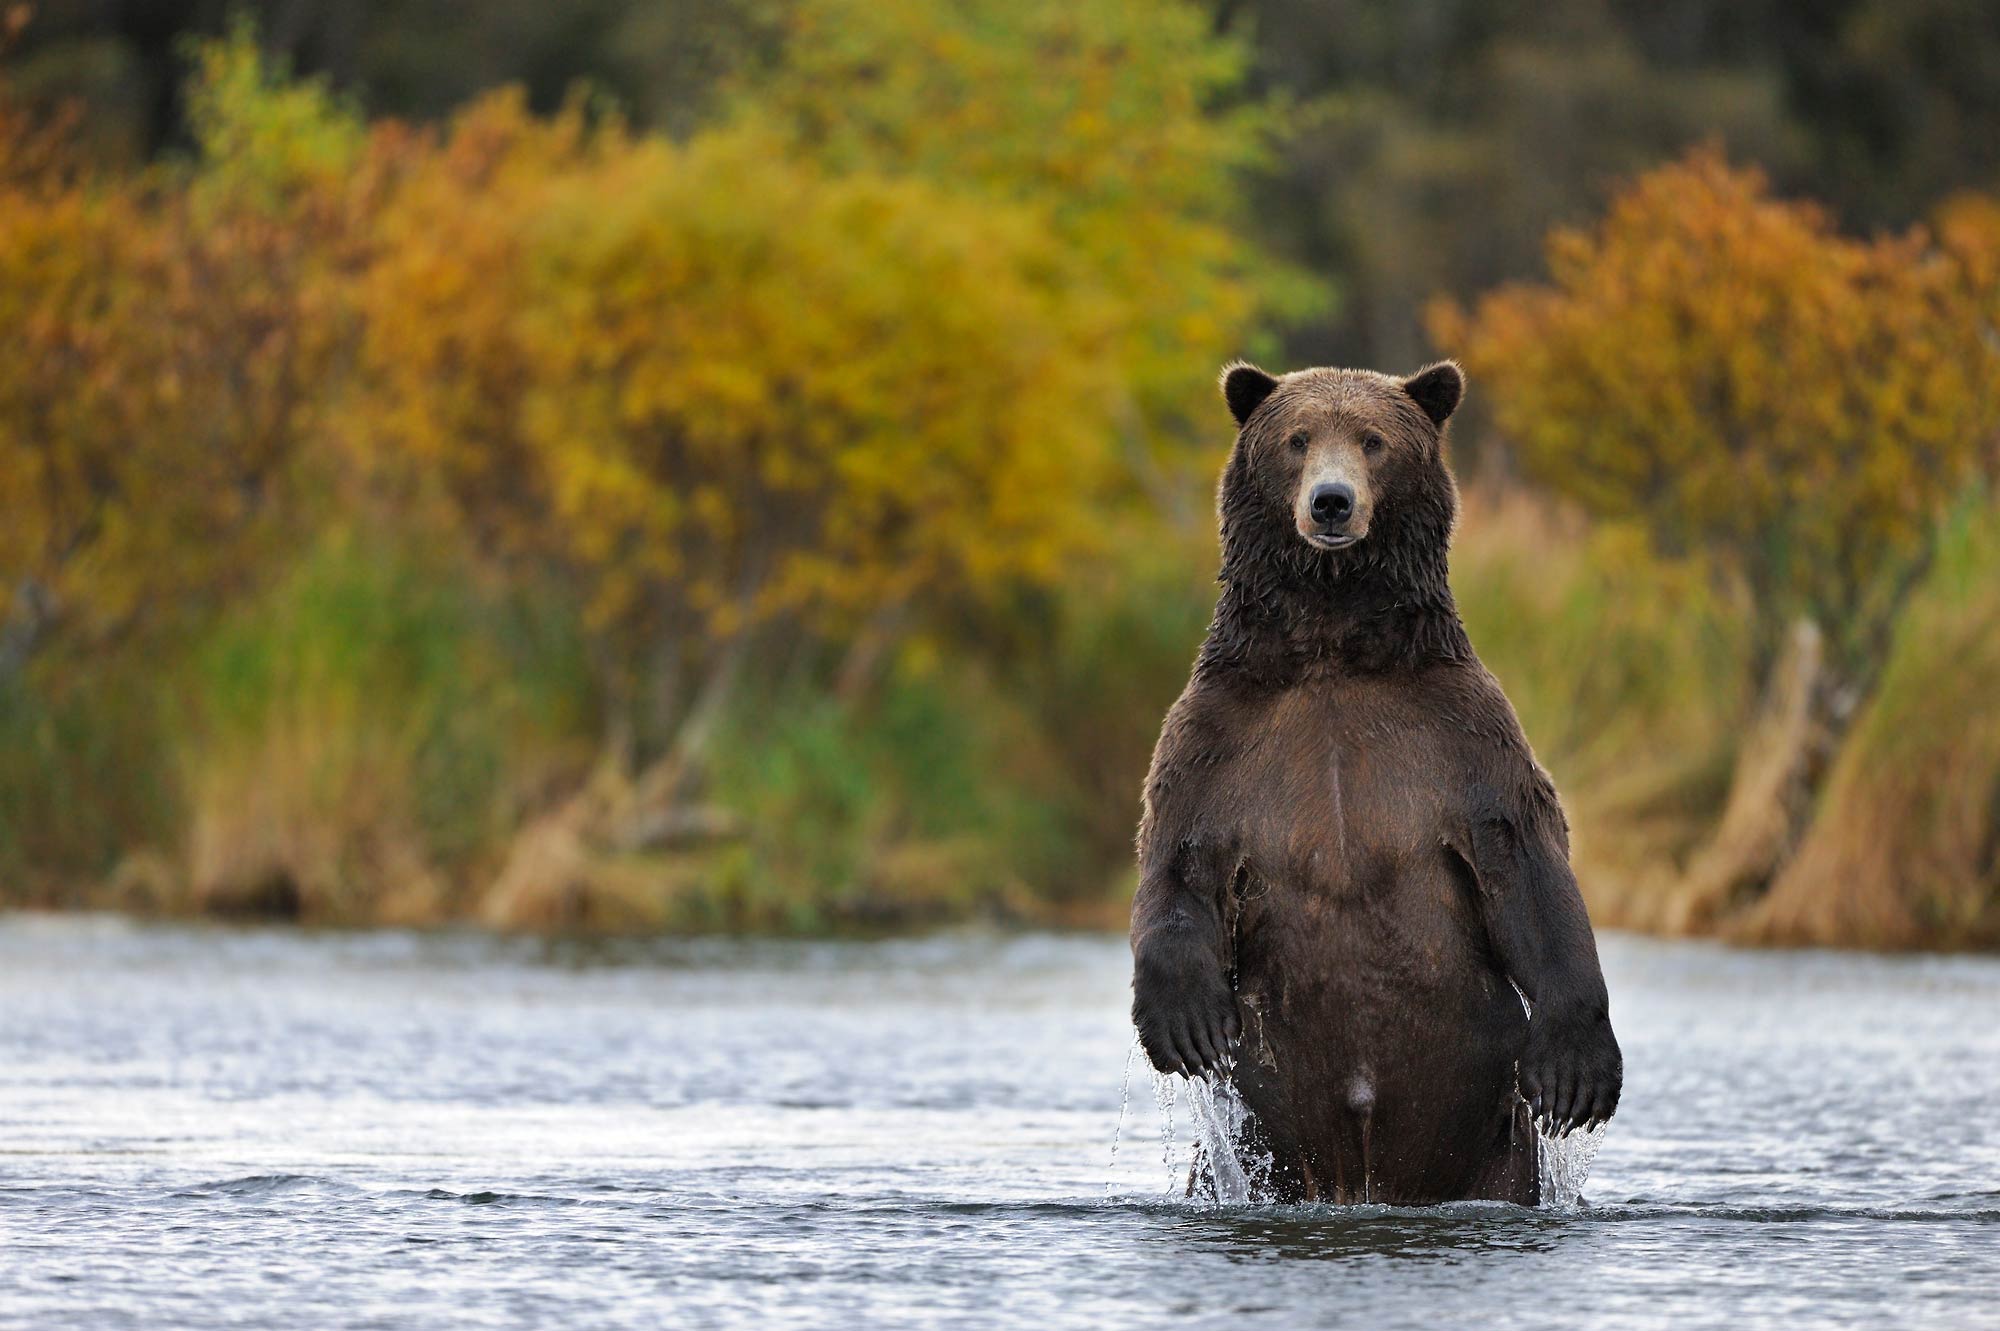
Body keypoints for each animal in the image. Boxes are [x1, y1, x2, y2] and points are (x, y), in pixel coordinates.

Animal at [1129, 359, 1622, 1206]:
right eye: (1297, 439)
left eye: (1373, 439)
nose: (1331, 501)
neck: (1331, 643)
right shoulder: (1219, 738)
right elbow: (1178, 859)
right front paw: (1185, 1025)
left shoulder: (1461, 737)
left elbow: (1526, 862)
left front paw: (1578, 1072)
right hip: (1256, 1140)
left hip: (1494, 1136)